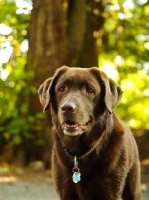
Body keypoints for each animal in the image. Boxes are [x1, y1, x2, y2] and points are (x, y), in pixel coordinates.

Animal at [37, 66, 141, 199]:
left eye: (90, 90)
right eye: (61, 88)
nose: (67, 108)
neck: (79, 152)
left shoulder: (110, 192)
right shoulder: (66, 191)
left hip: (133, 186)